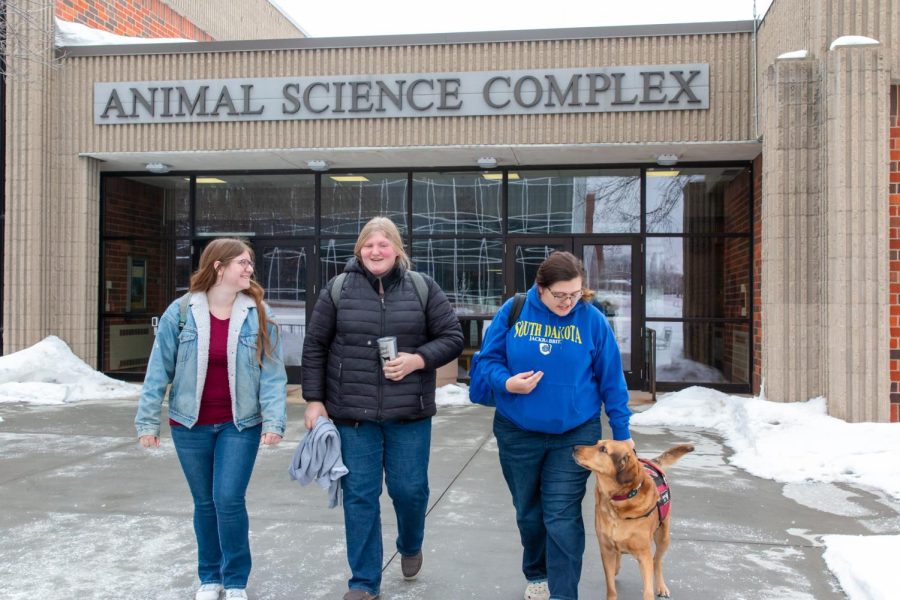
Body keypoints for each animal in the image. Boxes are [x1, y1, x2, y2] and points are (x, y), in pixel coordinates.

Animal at [572, 440, 692, 600]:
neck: (619, 501)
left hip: (663, 537)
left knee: (657, 561)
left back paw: (661, 586)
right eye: (597, 443)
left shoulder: (644, 556)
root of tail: (651, 461)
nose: (574, 447)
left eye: (603, 449)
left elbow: (647, 590)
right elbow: (611, 588)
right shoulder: (606, 550)